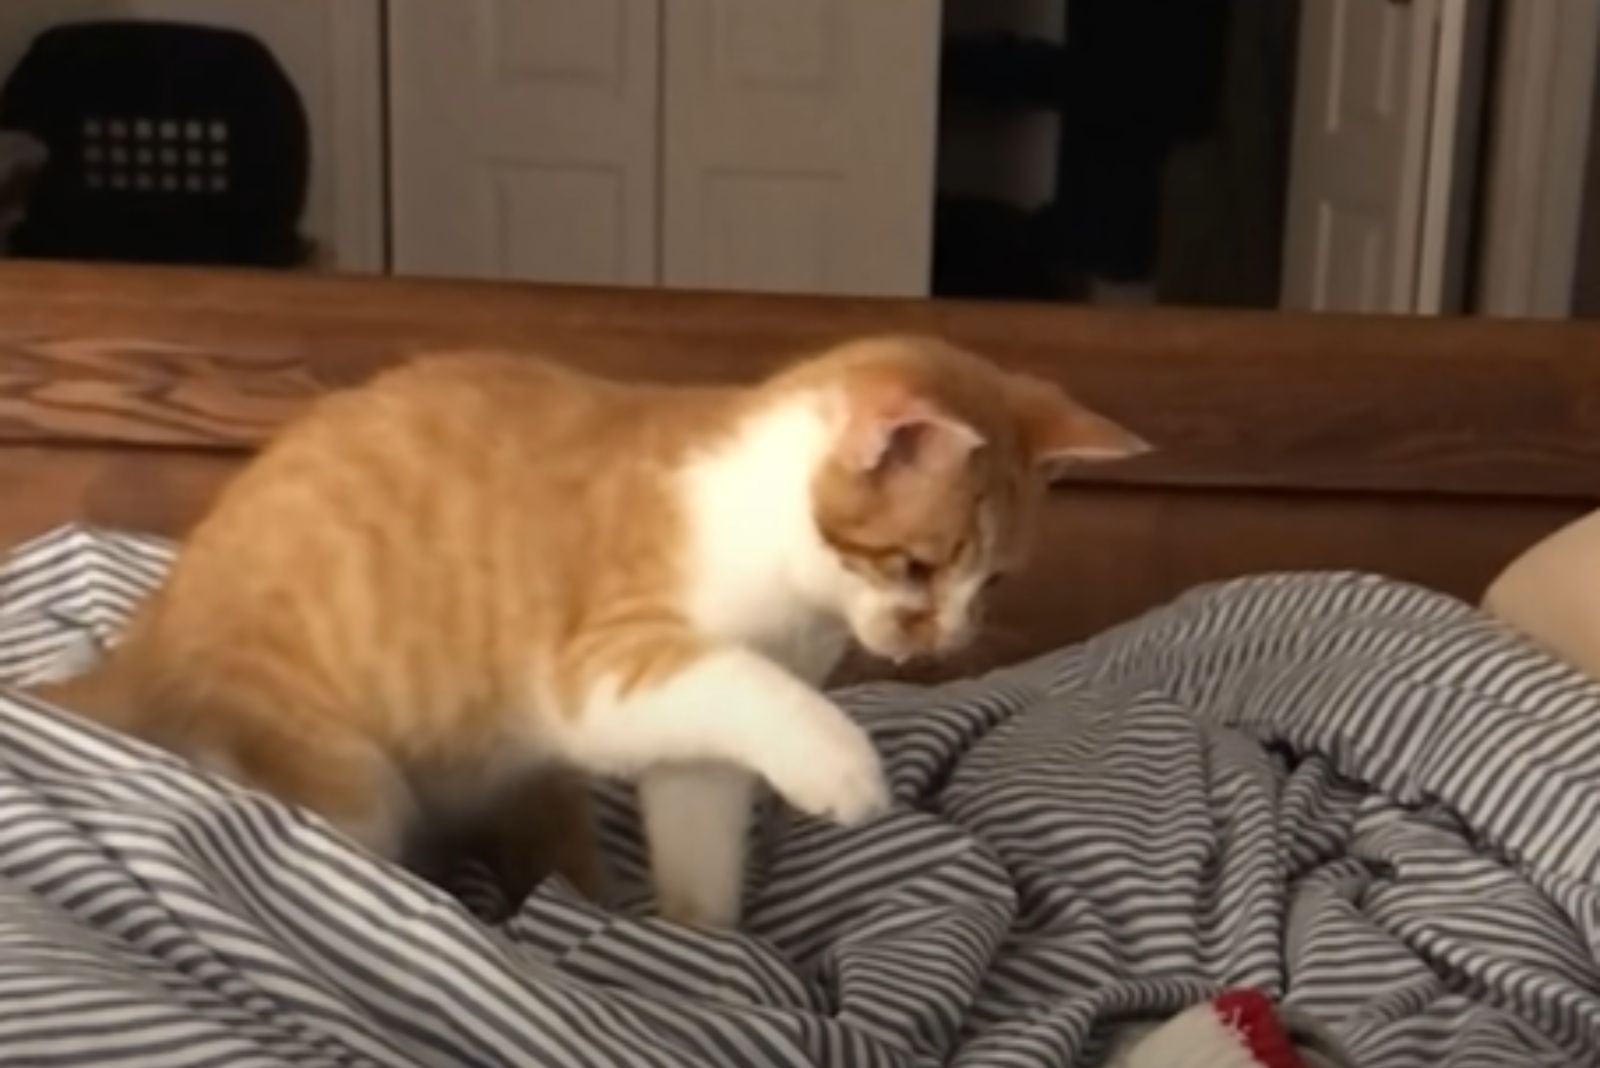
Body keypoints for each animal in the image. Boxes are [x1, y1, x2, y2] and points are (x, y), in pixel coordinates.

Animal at [37, 334, 1152, 927]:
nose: (936, 645)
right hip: (341, 768)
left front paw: (706, 952)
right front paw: (839, 763)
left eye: (990, 578)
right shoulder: (602, 672)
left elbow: (703, 828)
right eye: (918, 566)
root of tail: (149, 636)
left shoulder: (694, 753)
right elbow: (745, 687)